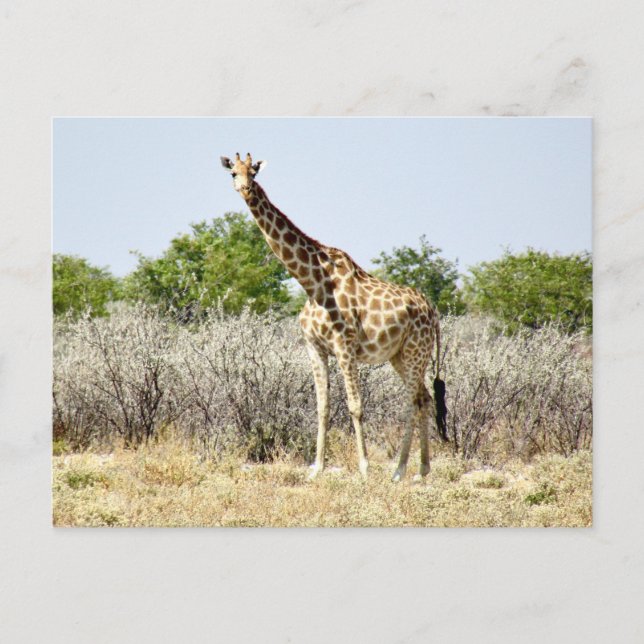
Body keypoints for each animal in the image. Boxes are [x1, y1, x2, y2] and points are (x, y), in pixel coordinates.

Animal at [220, 153, 447, 481]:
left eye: (254, 172)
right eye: (232, 173)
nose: (246, 189)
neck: (312, 281)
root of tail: (434, 313)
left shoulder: (345, 346)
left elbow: (355, 406)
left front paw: (364, 469)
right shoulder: (315, 347)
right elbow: (322, 407)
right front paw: (317, 469)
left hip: (417, 350)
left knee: (411, 401)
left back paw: (399, 469)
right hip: (400, 355)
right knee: (424, 398)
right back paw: (422, 469)